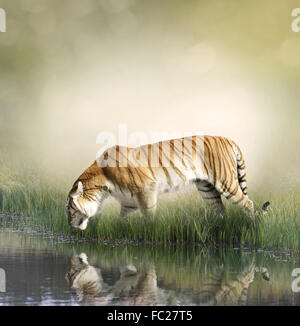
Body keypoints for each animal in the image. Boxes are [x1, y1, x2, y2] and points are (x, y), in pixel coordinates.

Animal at [65, 134, 268, 229]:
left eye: (69, 208)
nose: (69, 224)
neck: (103, 188)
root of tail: (227, 138)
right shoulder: (128, 201)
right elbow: (122, 219)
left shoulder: (146, 190)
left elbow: (148, 217)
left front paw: (149, 232)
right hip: (207, 189)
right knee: (219, 210)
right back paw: (214, 229)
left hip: (226, 182)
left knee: (248, 203)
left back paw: (251, 227)